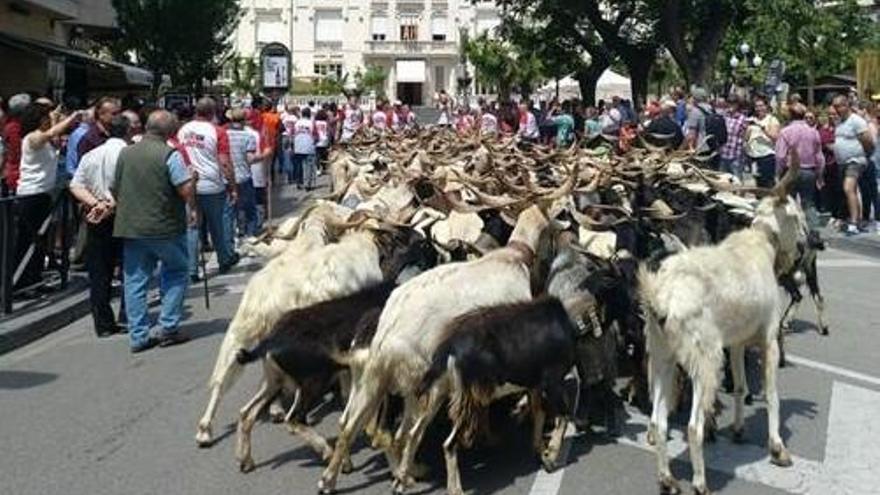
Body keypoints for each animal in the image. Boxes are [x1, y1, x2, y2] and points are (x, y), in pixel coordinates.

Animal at [640, 156, 804, 495]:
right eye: (795, 216)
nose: (803, 249)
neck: (759, 245)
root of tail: (661, 297)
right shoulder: (767, 336)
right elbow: (771, 393)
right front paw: (778, 449)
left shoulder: (738, 342)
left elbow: (741, 385)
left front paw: (739, 430)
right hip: (704, 358)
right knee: (693, 426)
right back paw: (700, 482)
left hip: (662, 354)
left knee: (659, 421)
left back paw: (668, 479)